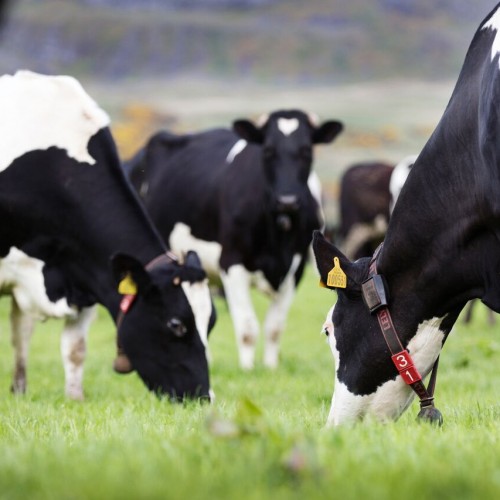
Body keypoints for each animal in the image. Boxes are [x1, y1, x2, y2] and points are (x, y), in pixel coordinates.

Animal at [0, 70, 214, 400]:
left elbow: (74, 349)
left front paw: (75, 399)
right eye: (176, 324)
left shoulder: (86, 270)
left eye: (211, 322)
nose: (203, 397)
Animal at [126, 110, 344, 368]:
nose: (287, 200)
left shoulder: (297, 268)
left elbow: (275, 328)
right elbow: (248, 327)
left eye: (307, 150)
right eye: (268, 150)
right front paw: (248, 369)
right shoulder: (231, 262)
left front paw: (270, 368)